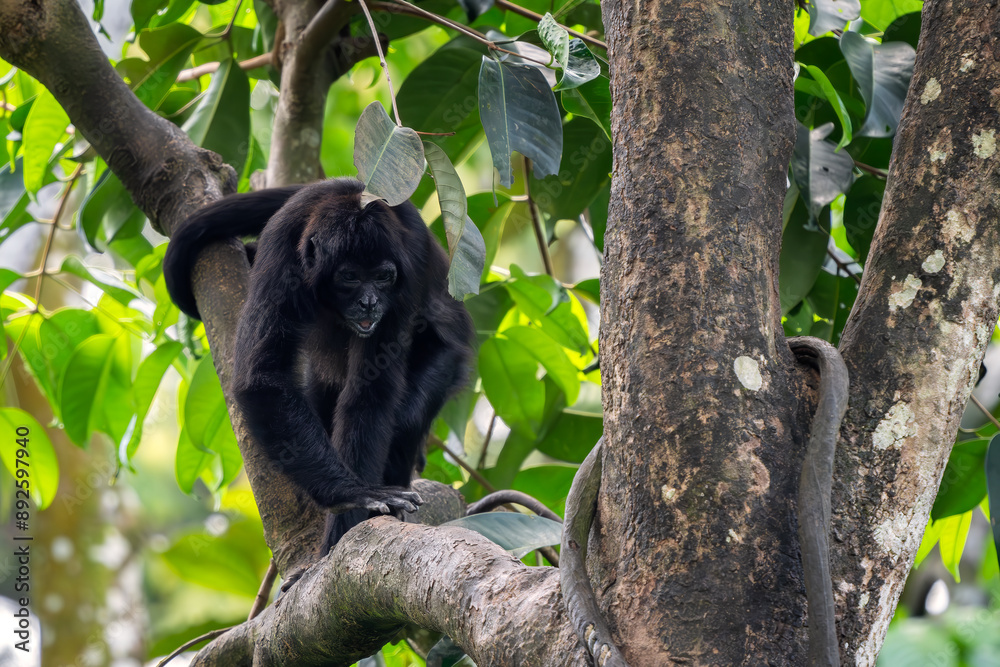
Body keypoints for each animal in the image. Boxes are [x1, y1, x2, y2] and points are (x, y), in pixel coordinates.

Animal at [164, 178, 475, 552]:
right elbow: (263, 378)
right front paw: (352, 493)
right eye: (350, 276)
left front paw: (346, 526)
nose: (369, 302)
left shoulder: (408, 275)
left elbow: (370, 392)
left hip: (448, 359)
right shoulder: (282, 251)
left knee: (408, 414)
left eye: (383, 277)